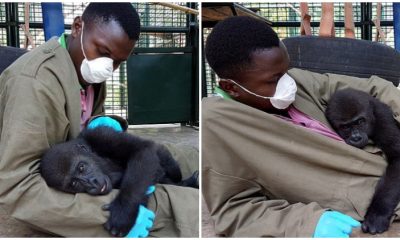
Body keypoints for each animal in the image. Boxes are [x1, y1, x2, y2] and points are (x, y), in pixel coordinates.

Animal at [40, 126, 197, 237]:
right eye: (74, 184)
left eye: (81, 167)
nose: (92, 183)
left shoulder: (101, 135)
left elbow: (142, 149)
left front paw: (124, 211)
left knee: (168, 163)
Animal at [326, 87, 400, 234]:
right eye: (345, 127)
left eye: (360, 122)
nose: (356, 137)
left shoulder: (383, 120)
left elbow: (398, 158)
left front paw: (377, 214)